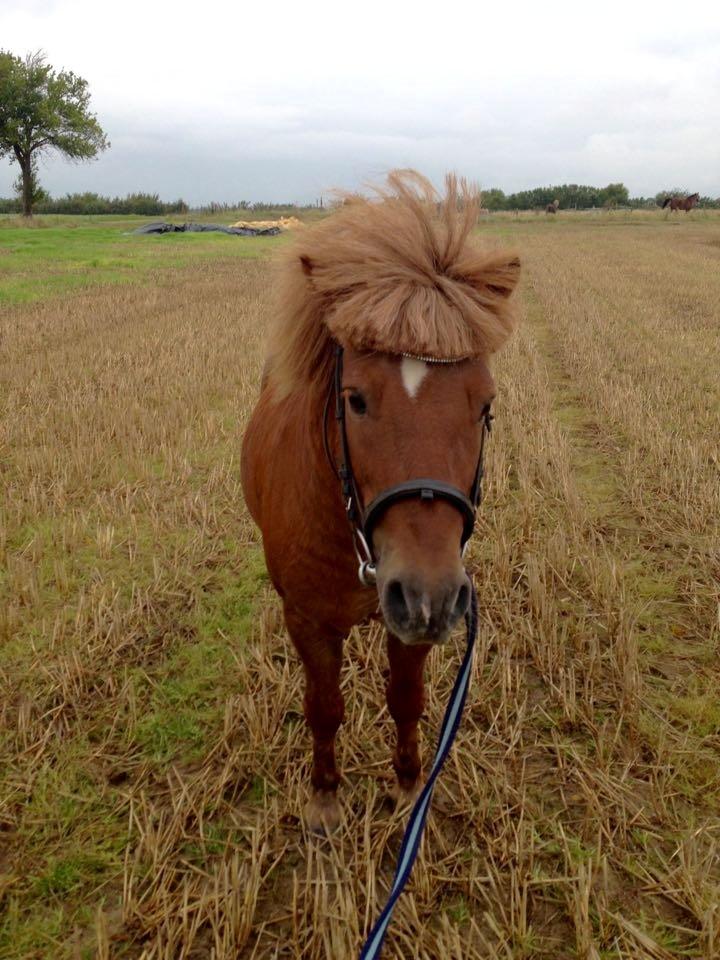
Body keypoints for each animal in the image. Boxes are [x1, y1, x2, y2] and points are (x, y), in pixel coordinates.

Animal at [239, 169, 520, 828]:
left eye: (486, 404)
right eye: (356, 399)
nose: (425, 594)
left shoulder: (413, 625)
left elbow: (406, 700)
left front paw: (409, 786)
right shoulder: (309, 621)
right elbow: (323, 706)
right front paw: (324, 797)